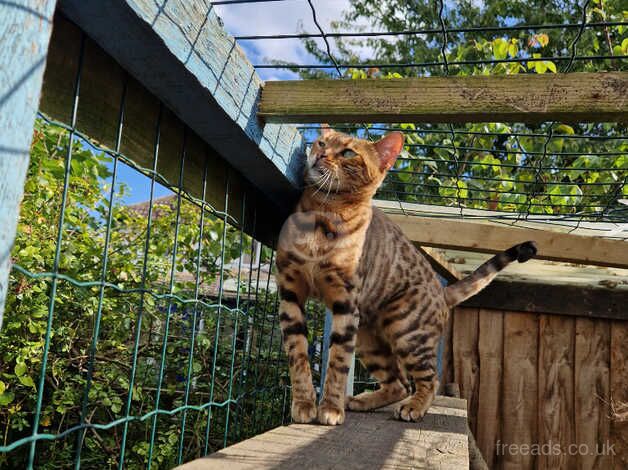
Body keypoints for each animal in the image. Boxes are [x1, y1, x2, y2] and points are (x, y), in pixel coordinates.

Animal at [278, 126, 536, 426]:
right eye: (321, 142)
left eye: (348, 153)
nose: (319, 153)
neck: (325, 212)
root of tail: (442, 290)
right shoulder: (290, 293)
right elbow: (297, 353)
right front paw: (304, 403)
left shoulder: (345, 302)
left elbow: (338, 362)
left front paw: (330, 408)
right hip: (368, 339)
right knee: (399, 383)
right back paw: (363, 401)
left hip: (407, 332)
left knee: (428, 380)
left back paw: (414, 406)